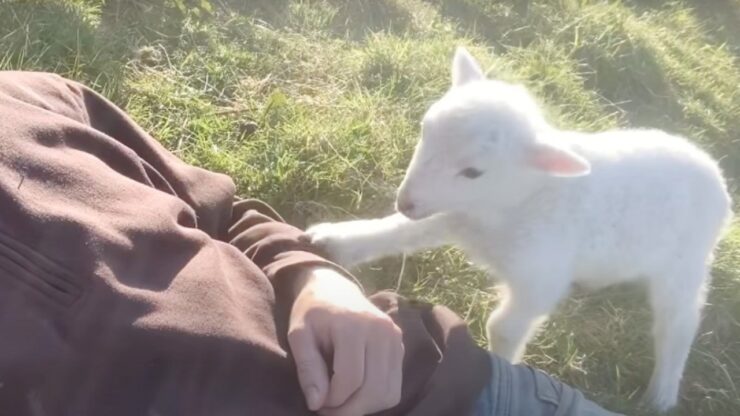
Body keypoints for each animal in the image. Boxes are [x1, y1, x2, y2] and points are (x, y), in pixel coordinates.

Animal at [306, 47, 736, 412]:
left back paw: (662, 393)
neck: (514, 202)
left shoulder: (540, 276)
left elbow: (505, 326)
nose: (405, 200)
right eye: (426, 130)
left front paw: (501, 368)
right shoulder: (454, 215)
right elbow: (400, 232)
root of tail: (716, 176)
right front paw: (336, 242)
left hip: (683, 266)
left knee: (678, 323)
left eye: (473, 171)